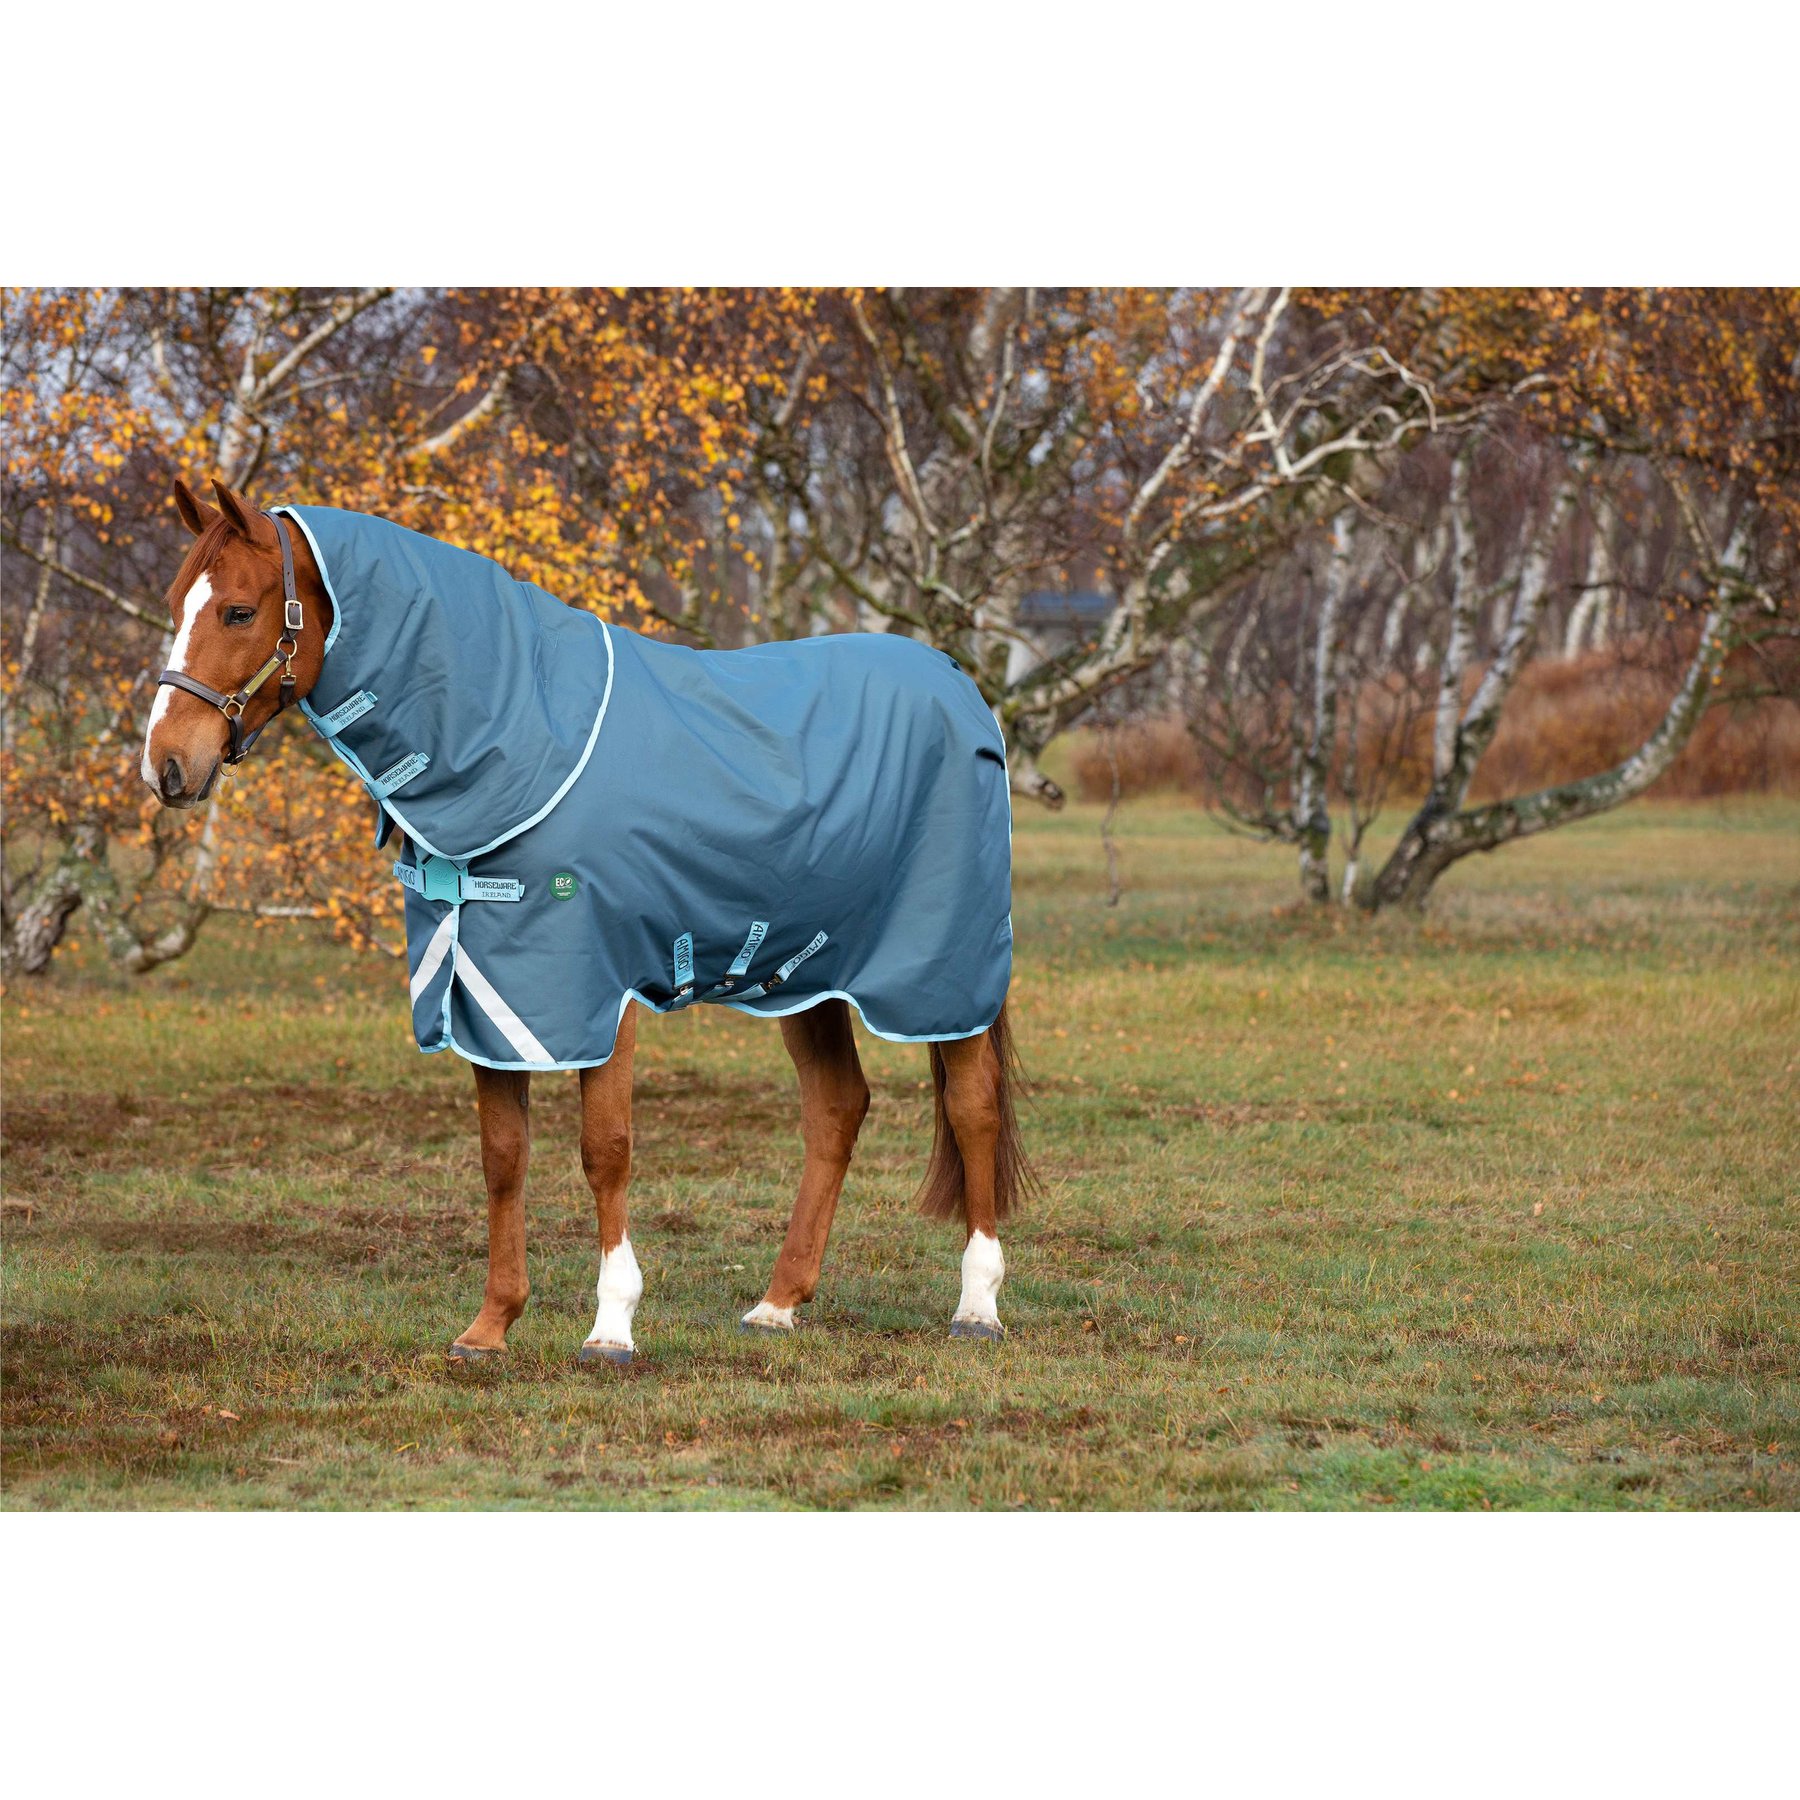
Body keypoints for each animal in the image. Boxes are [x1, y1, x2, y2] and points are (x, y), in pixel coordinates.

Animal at [142, 477, 1031, 1365]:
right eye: (175, 603)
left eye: (238, 612)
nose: (167, 767)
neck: (520, 738)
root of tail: (959, 683)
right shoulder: (489, 994)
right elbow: (503, 1155)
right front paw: (490, 1326)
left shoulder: (597, 990)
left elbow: (604, 1150)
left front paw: (611, 1327)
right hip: (804, 974)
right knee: (837, 1109)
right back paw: (778, 1305)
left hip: (942, 974)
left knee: (972, 1107)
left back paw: (978, 1305)